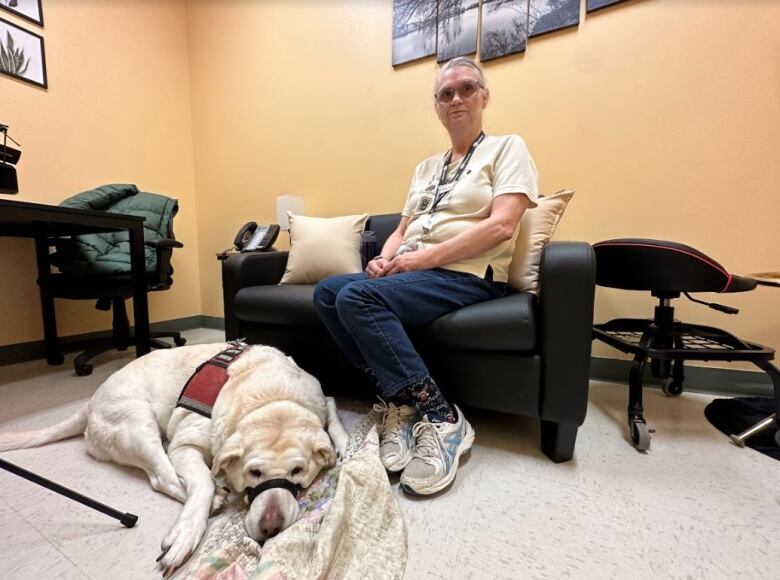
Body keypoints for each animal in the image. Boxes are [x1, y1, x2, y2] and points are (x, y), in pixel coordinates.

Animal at [0, 344, 348, 576]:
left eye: (297, 471)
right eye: (254, 472)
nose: (271, 526)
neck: (273, 399)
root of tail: (89, 403)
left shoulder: (320, 399)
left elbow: (332, 410)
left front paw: (343, 443)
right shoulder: (184, 444)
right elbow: (202, 481)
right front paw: (187, 532)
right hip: (138, 423)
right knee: (162, 476)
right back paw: (215, 500)